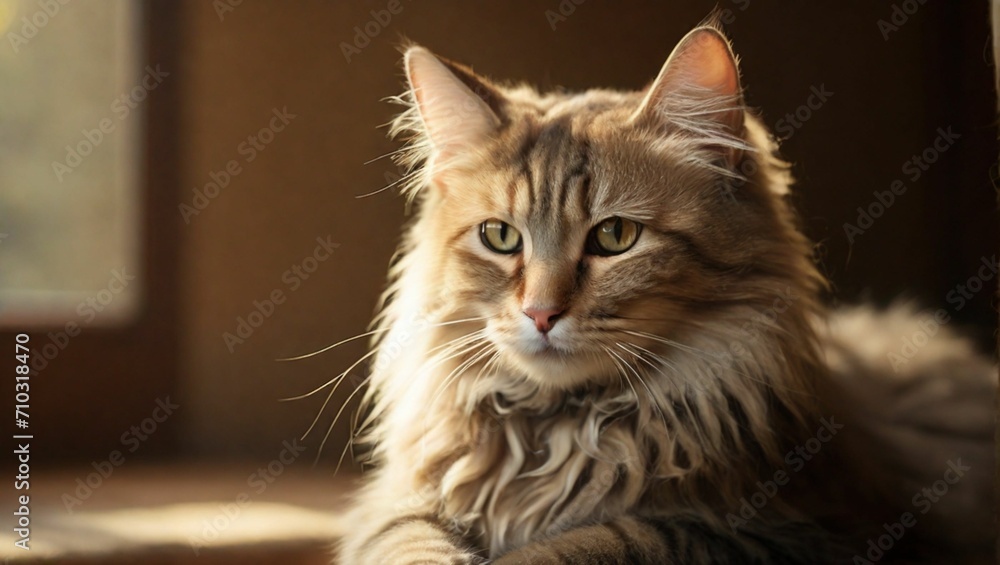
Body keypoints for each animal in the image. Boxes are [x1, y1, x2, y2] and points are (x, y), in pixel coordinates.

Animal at [334, 18, 992, 564]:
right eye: (500, 237)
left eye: (615, 236)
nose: (540, 313)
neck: (564, 429)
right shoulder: (399, 504)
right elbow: (408, 542)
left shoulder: (777, 527)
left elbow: (595, 541)